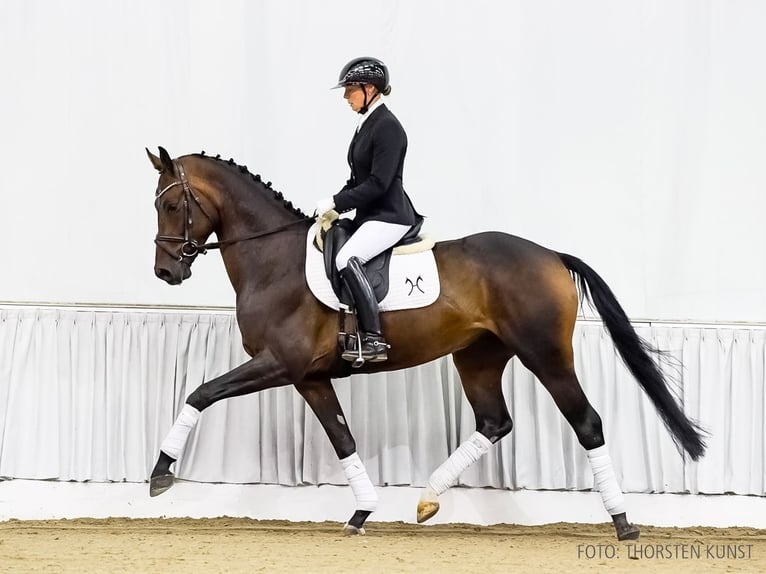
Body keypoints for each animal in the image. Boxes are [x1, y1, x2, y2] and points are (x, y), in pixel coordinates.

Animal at [146, 147, 708, 540]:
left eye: (172, 204)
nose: (165, 272)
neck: (273, 259)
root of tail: (550, 254)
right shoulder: (310, 376)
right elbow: (343, 439)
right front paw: (360, 513)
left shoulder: (280, 363)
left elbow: (200, 393)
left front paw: (160, 474)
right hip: (478, 356)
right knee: (494, 422)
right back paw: (427, 499)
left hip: (546, 356)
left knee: (586, 422)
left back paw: (624, 523)